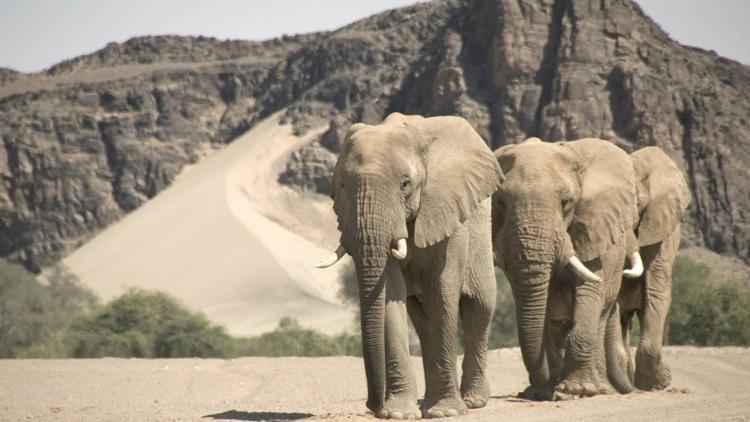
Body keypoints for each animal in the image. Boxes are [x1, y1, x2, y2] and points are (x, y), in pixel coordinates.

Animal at [490, 137, 644, 400]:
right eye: (500, 201)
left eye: (566, 202)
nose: (537, 387)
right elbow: (545, 311)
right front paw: (545, 391)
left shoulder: (593, 229)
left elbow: (590, 289)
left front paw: (578, 390)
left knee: (599, 313)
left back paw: (597, 387)